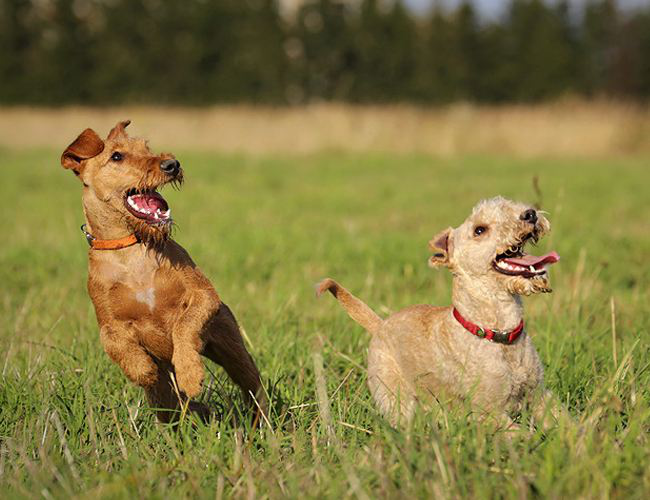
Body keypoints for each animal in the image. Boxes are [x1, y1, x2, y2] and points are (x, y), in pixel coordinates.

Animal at [60, 121, 264, 422]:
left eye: (147, 148)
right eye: (117, 156)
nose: (172, 164)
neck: (130, 250)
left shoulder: (203, 294)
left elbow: (184, 324)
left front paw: (190, 373)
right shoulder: (108, 323)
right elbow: (116, 345)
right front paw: (143, 370)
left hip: (233, 349)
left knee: (253, 387)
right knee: (174, 406)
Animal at [318, 196, 560, 430]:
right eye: (479, 230)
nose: (530, 214)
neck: (497, 331)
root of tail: (381, 324)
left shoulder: (539, 394)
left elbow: (563, 422)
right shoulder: (488, 412)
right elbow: (521, 435)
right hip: (395, 395)